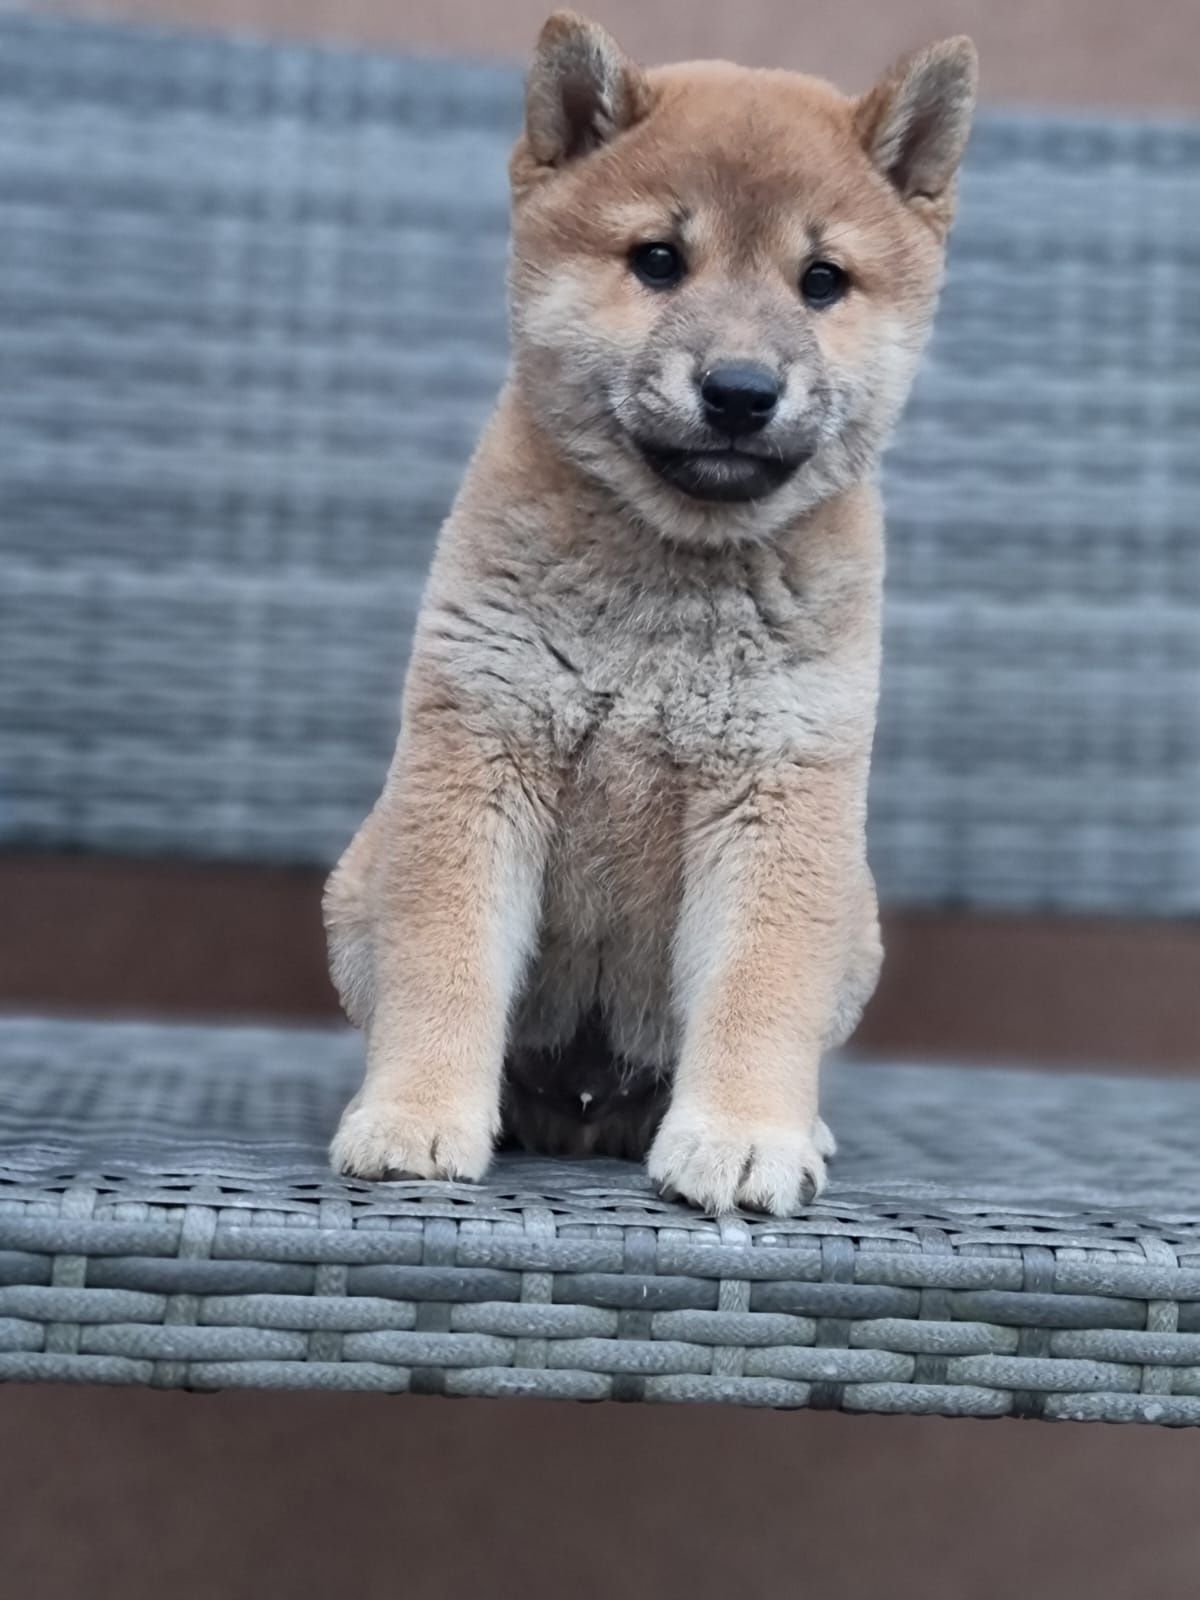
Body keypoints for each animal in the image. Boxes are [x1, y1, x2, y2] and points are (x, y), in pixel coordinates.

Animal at [326, 9, 979, 1209]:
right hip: (359, 881)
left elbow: (759, 986)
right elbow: (446, 958)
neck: (672, 573)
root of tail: (589, 1102)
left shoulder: (779, 792)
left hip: (854, 924)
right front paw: (416, 1115)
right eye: (659, 262)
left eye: (822, 281)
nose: (741, 391)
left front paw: (745, 1137)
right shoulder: (480, 753)